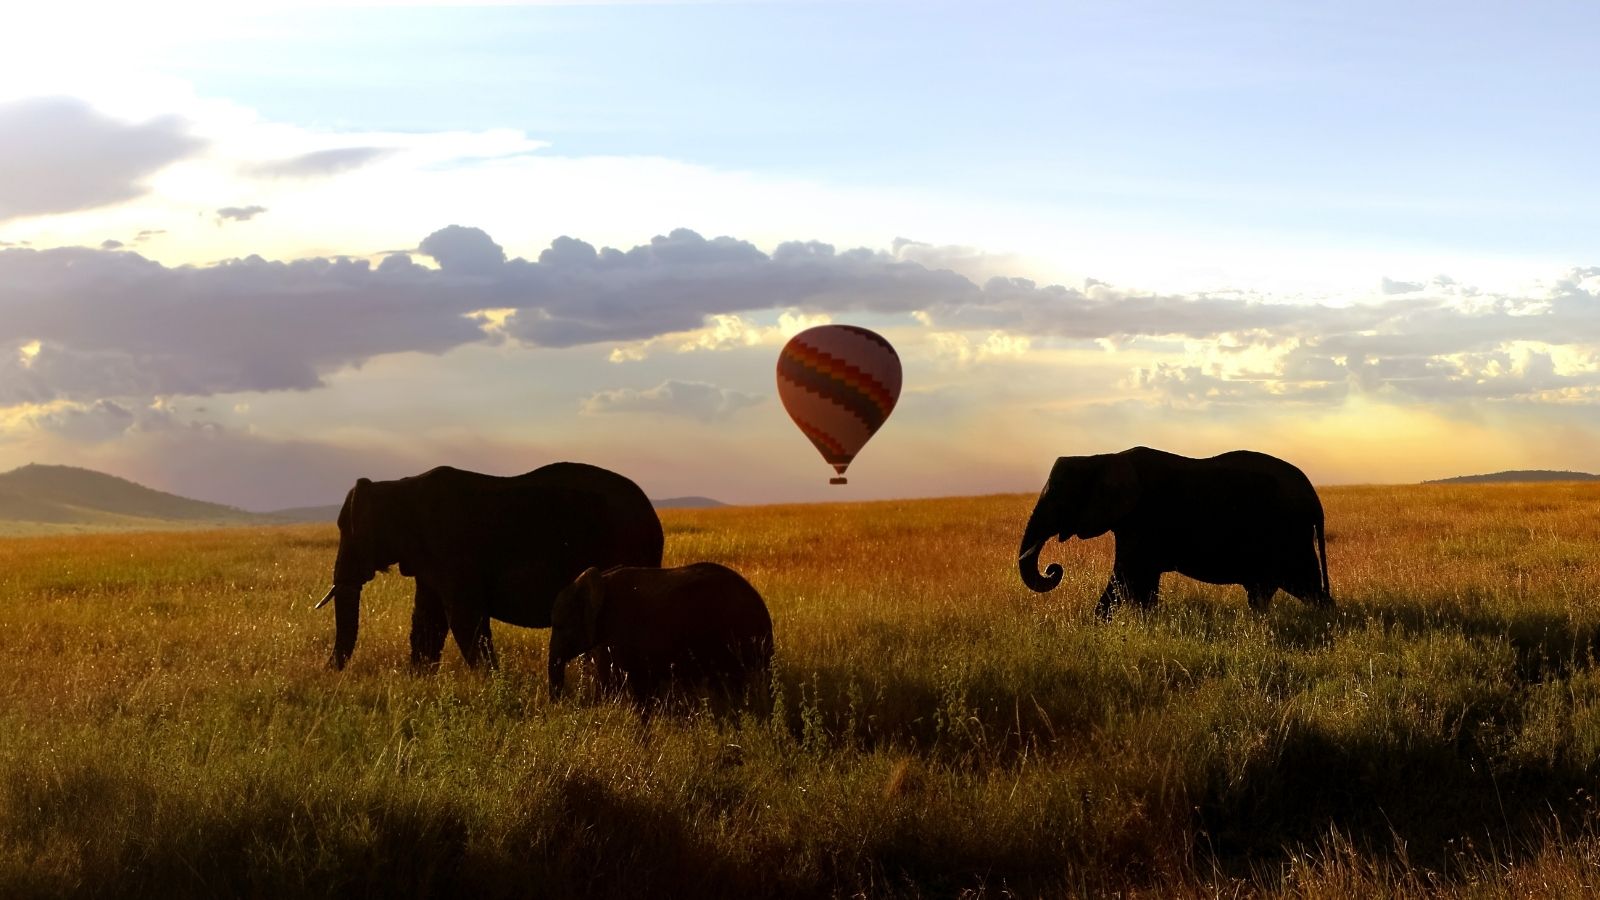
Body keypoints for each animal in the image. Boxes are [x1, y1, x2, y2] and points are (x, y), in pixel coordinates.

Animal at [316, 462, 664, 671]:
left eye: (348, 532)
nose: (326, 672)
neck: (397, 487)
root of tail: (652, 517)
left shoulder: (451, 551)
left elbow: (464, 619)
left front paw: (492, 683)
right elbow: (428, 622)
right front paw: (418, 685)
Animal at [1017, 446, 1332, 617]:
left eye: (1056, 498)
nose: (1053, 568)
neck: (1103, 457)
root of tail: (1314, 497)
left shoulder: (1143, 518)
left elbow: (1126, 577)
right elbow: (1137, 583)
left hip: (1289, 534)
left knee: (1303, 585)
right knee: (1271, 590)